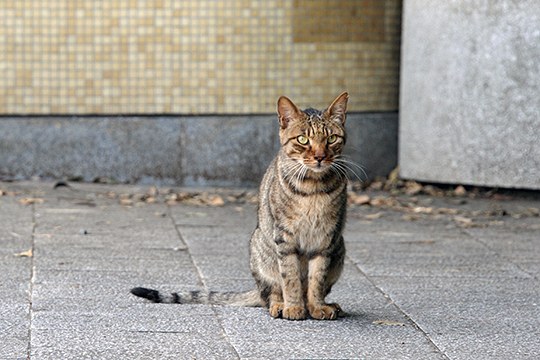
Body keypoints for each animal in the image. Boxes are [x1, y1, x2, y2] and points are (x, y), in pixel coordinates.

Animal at [131, 93, 350, 320]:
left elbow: (317, 279)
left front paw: (317, 306)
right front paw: (293, 307)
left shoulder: (326, 238)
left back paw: (327, 305)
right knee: (269, 293)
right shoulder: (284, 236)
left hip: (339, 247)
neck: (313, 188)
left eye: (331, 139)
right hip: (260, 247)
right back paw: (280, 305)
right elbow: (290, 277)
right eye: (303, 140)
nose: (320, 157)